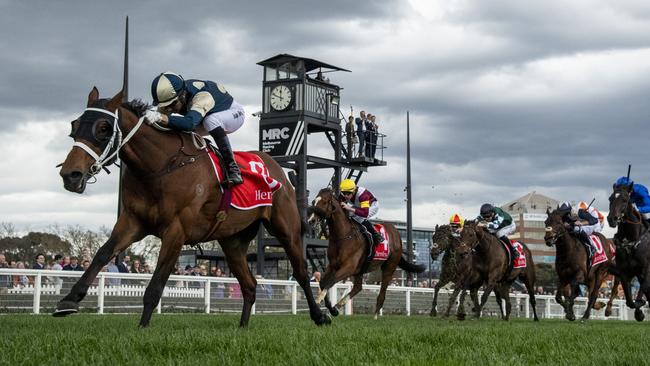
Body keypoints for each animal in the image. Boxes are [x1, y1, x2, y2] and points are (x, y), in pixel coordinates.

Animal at [53, 87, 330, 328]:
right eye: (74, 125)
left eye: (103, 128)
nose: (70, 175)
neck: (158, 167)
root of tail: (276, 166)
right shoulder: (132, 222)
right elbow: (102, 254)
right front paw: (68, 300)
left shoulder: (176, 231)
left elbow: (156, 284)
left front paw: (142, 328)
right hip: (233, 241)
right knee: (249, 284)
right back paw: (242, 326)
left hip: (286, 228)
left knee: (301, 273)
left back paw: (320, 316)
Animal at [306, 189, 422, 318]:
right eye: (314, 201)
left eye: (325, 202)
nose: (311, 220)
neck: (343, 236)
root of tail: (396, 233)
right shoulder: (333, 265)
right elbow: (322, 282)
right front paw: (328, 307)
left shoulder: (349, 267)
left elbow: (331, 281)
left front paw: (320, 302)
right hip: (361, 270)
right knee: (358, 287)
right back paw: (336, 308)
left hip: (389, 268)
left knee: (381, 294)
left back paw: (375, 316)